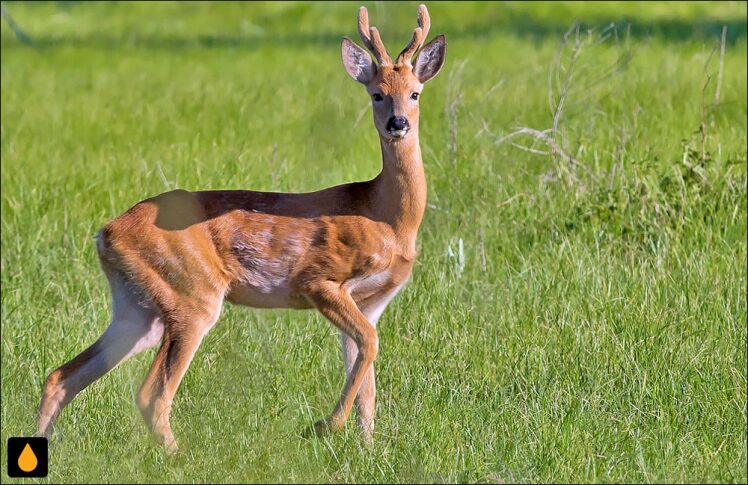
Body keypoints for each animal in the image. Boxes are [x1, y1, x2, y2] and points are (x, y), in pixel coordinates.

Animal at [36, 3, 444, 452]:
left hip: (137, 307)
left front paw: (366, 449)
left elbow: (366, 373)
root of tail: (106, 232)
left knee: (61, 376)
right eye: (377, 93)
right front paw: (324, 426)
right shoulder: (319, 279)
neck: (387, 217)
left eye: (415, 93)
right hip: (191, 293)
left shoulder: (373, 301)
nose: (398, 123)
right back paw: (180, 456)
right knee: (150, 393)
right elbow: (369, 346)